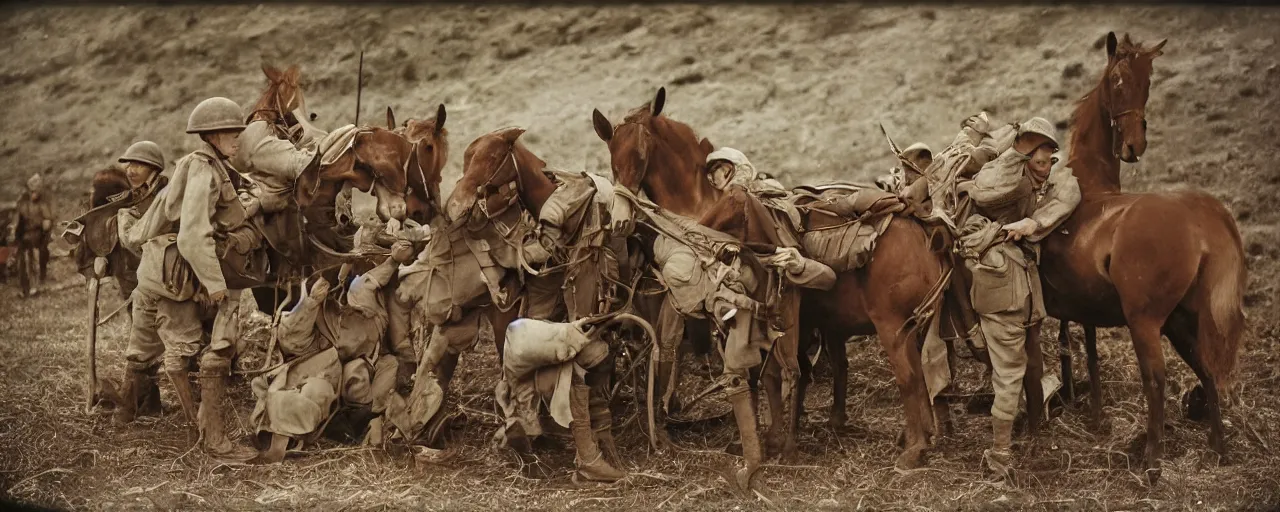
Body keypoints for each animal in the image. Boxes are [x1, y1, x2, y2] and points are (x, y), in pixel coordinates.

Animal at [593, 87, 947, 468]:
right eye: (612, 156)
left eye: (641, 152)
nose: (621, 219)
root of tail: (921, 230)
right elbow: (778, 375)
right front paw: (779, 437)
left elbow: (763, 376)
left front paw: (767, 440)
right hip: (910, 326)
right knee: (919, 377)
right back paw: (919, 437)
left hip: (892, 327)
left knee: (908, 378)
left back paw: (913, 450)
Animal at [1039, 32, 1249, 483]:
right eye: (1118, 80)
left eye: (1148, 81)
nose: (1134, 146)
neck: (1089, 185)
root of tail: (1197, 212)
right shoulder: (1083, 306)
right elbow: (1086, 349)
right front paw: (1093, 412)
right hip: (1183, 319)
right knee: (1206, 367)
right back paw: (1218, 448)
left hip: (1147, 322)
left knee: (1156, 379)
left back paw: (1152, 459)